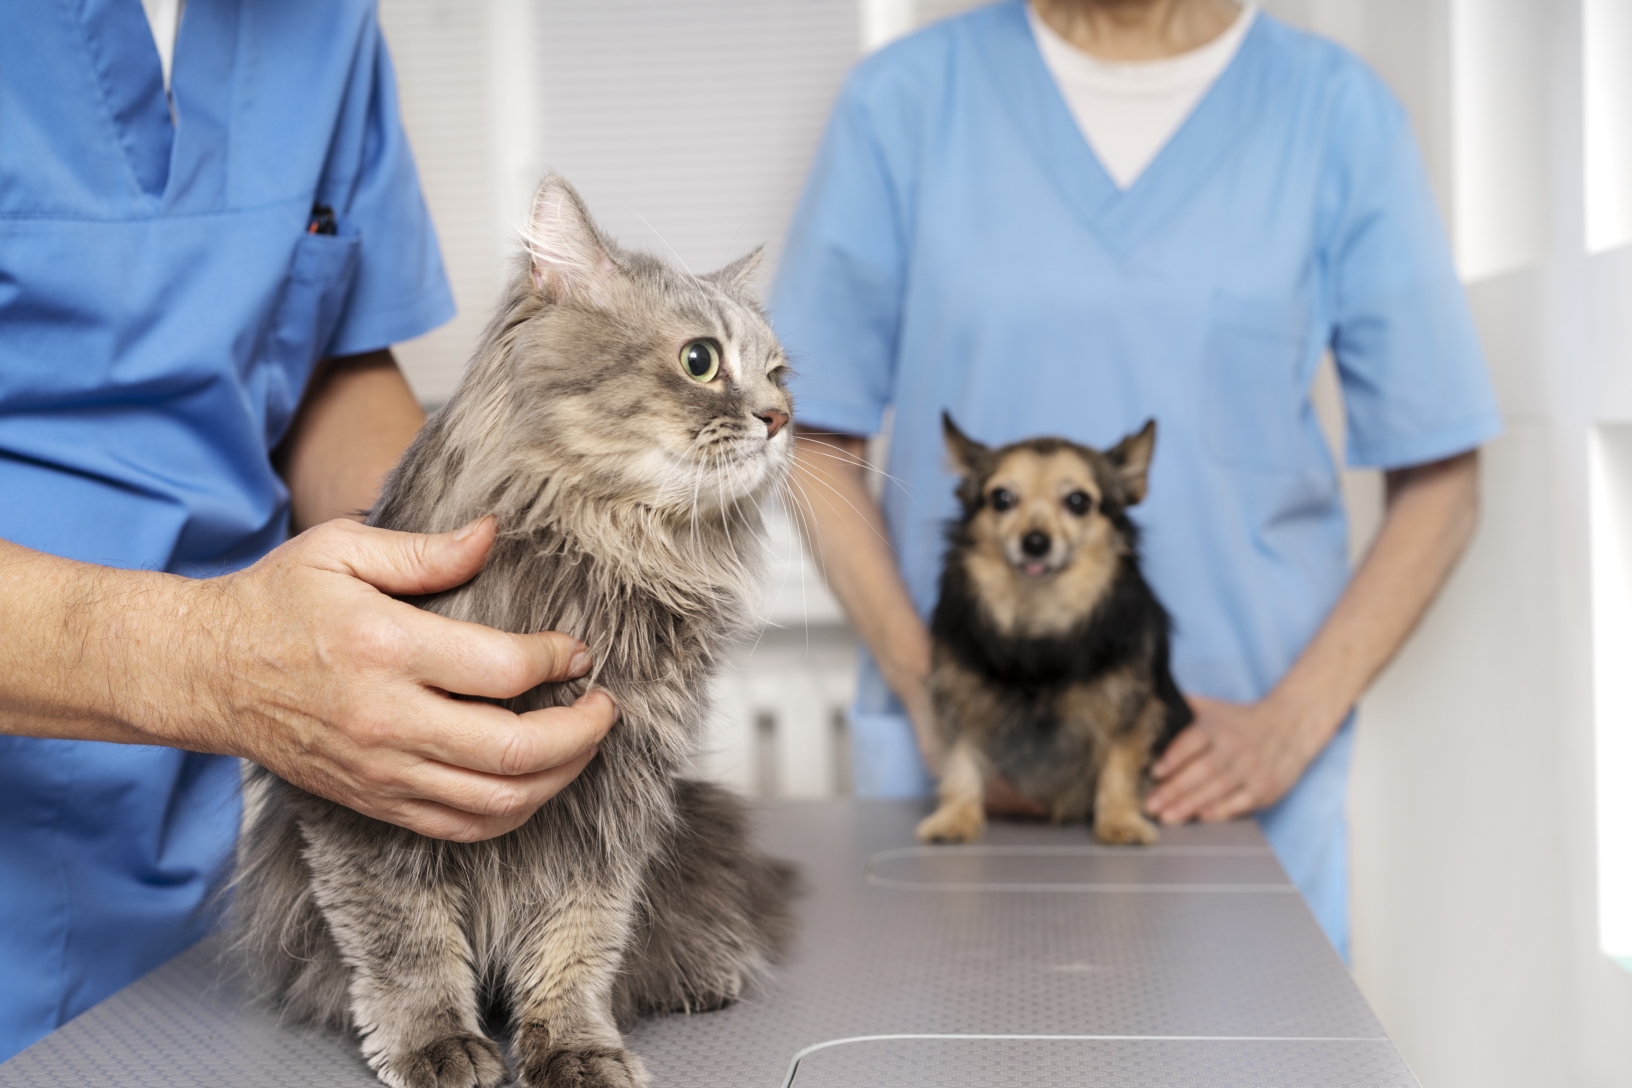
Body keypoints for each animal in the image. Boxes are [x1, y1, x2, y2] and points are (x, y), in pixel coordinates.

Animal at [235, 174, 802, 1088]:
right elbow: (406, 943)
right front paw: (434, 1044)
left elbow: (578, 946)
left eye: (782, 374)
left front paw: (573, 1047)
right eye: (700, 360)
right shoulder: (366, 804)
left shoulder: (612, 808)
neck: (605, 554)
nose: (780, 418)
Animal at [913, 412, 1194, 848]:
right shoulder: (958, 698)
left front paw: (1119, 821)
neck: (1038, 618)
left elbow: (1119, 763)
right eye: (1002, 498)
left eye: (1078, 501)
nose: (1035, 542)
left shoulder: (1129, 705)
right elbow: (960, 759)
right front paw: (956, 818)